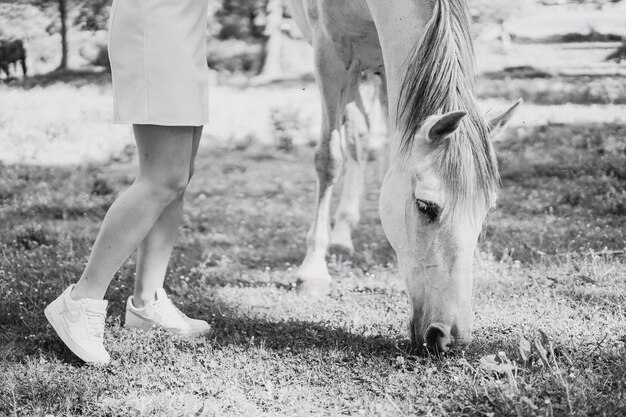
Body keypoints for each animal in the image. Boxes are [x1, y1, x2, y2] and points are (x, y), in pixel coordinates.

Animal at [288, 0, 520, 352]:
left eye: (486, 211)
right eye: (425, 206)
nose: (449, 336)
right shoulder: (329, 54)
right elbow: (329, 158)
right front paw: (312, 273)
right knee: (355, 138)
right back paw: (339, 237)